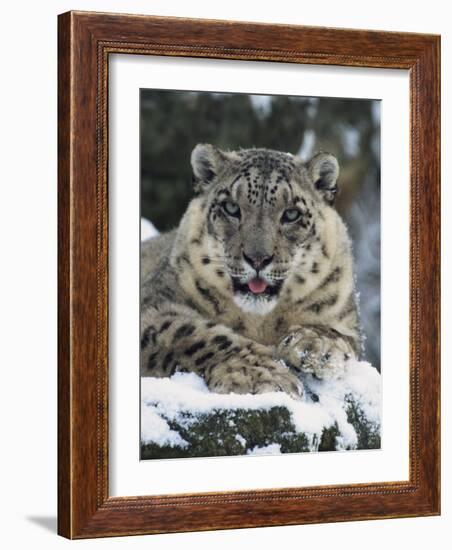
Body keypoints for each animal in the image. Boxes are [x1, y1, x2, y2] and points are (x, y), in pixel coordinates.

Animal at [141, 144, 364, 398]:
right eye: (231, 208)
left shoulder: (346, 320)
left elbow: (338, 334)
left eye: (292, 214)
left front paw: (315, 347)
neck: (260, 322)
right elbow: (195, 334)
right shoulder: (155, 307)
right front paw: (262, 374)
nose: (258, 258)